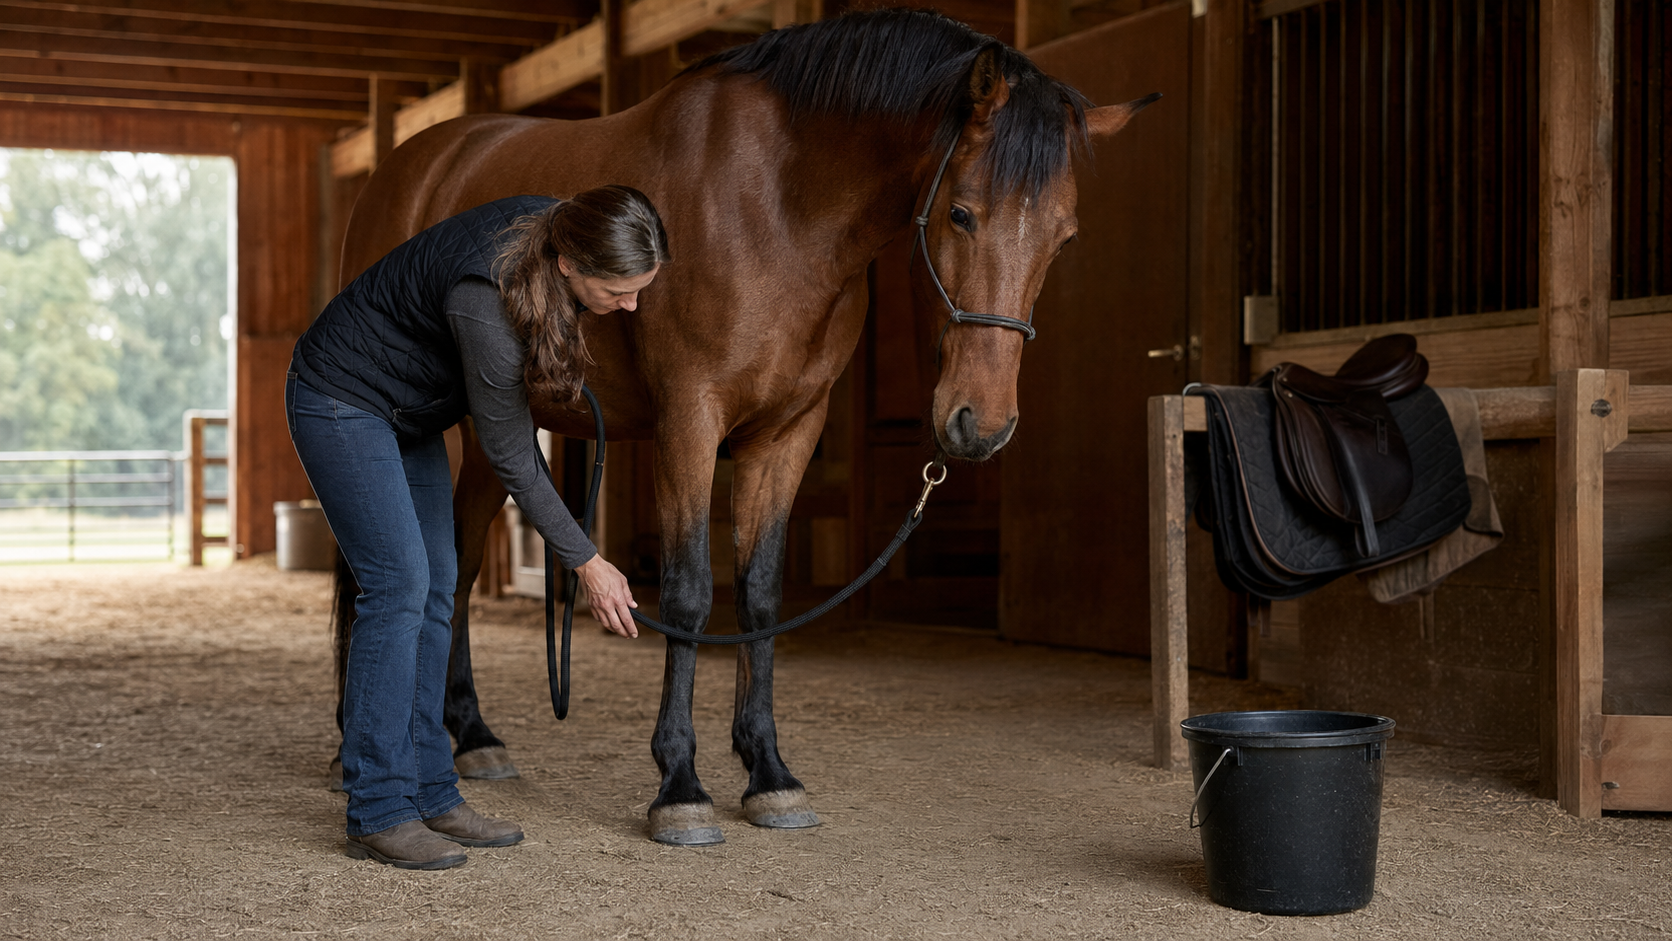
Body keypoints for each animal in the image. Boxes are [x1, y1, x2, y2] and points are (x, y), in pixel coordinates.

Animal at [330, 7, 1156, 846]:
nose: (979, 424)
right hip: (438, 431)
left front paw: (769, 773)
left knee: (459, 568)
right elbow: (691, 593)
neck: (781, 207)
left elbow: (759, 597)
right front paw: (680, 785)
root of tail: (413, 164)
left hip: (487, 439)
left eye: (1064, 237)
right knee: (395, 571)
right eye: (962, 212)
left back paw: (474, 736)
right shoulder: (690, 420)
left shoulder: (786, 432)